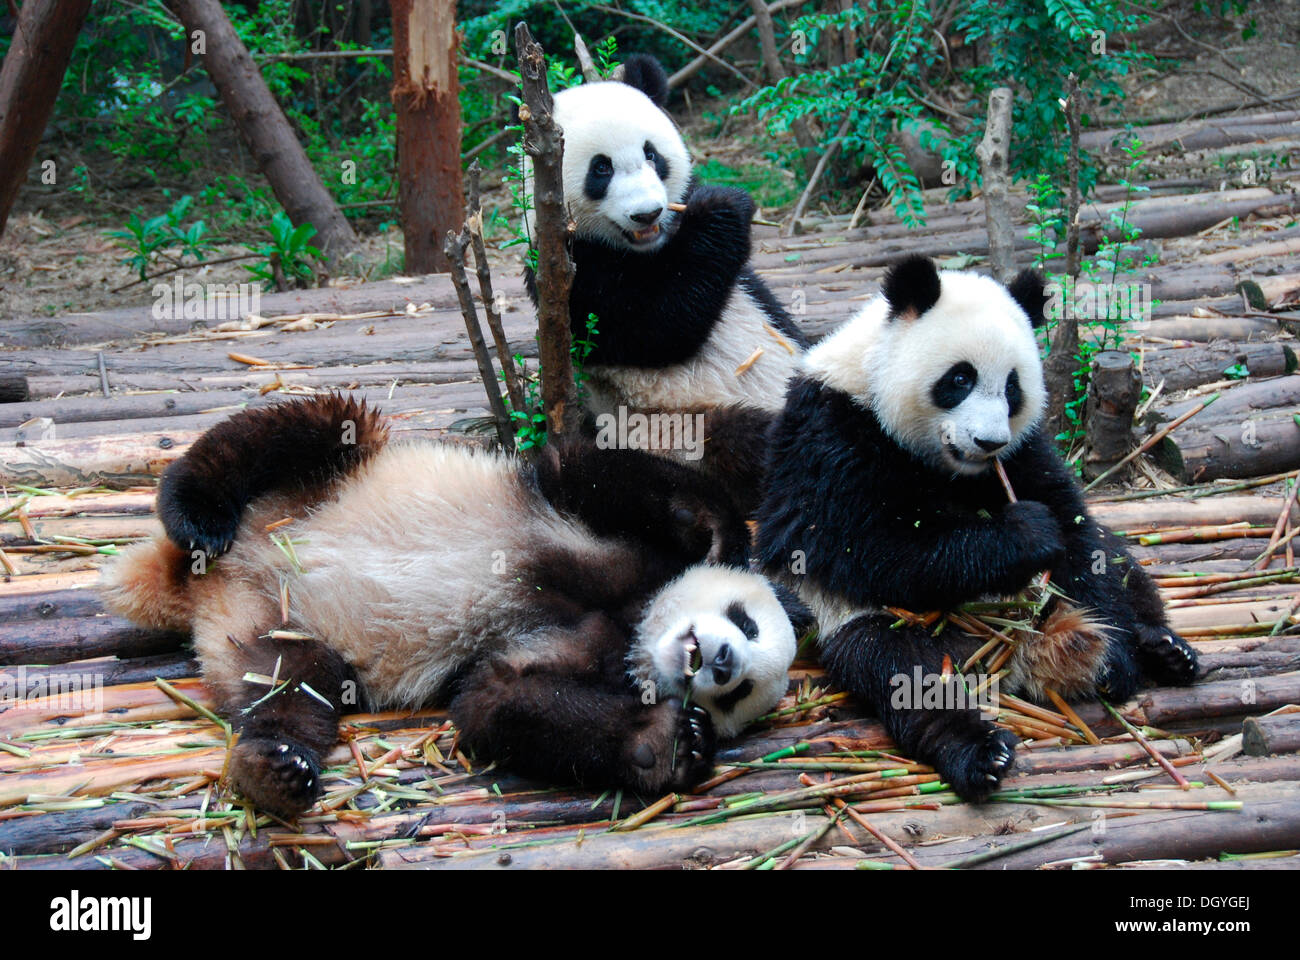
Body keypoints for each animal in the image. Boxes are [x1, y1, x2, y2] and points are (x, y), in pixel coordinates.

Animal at [104, 395, 811, 816]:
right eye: (745, 621)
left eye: (738, 694)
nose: (721, 661)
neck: (638, 617)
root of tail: (216, 578)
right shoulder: (591, 516)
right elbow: (589, 469)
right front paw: (721, 536)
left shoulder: (586, 649)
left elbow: (496, 699)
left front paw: (672, 742)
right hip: (317, 482)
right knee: (306, 429)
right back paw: (197, 511)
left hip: (267, 625)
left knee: (290, 681)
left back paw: (272, 769)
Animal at [522, 55, 806, 512]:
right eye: (601, 168)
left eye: (651, 154)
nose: (648, 213)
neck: (645, 249)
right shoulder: (567, 275)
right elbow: (657, 328)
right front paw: (722, 208)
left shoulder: (745, 287)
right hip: (676, 426)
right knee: (749, 441)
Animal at [759, 256, 1201, 801]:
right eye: (959, 379)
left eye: (1013, 387)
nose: (988, 442)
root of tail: (1015, 659)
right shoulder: (830, 431)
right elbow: (857, 545)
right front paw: (1024, 534)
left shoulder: (1024, 447)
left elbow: (1076, 534)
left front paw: (1115, 659)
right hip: (869, 622)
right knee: (903, 675)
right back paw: (980, 752)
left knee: (1120, 562)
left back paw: (1164, 648)